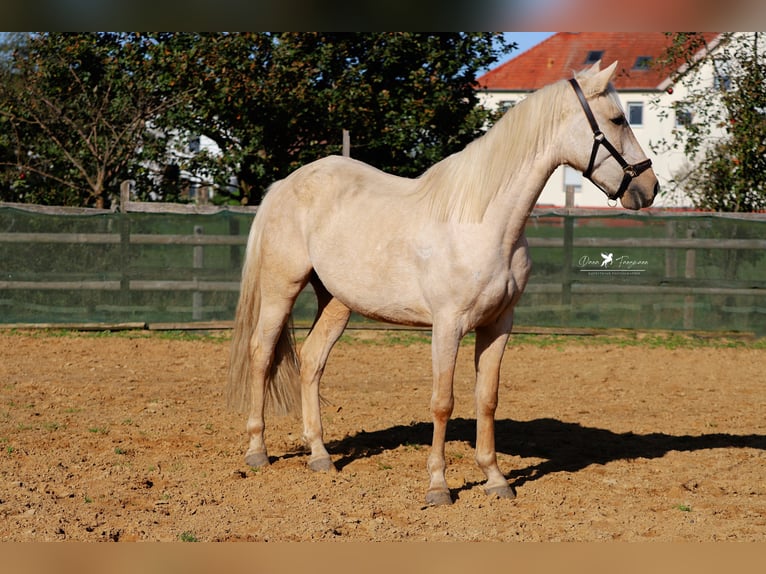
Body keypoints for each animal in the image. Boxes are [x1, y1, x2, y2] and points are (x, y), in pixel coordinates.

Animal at [228, 60, 660, 506]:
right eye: (617, 119)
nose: (649, 188)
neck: (482, 222)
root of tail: (285, 185)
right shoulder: (447, 326)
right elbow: (442, 402)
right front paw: (438, 486)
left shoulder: (499, 324)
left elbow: (487, 399)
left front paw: (495, 479)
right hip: (281, 288)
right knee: (261, 354)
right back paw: (257, 450)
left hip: (335, 301)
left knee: (312, 361)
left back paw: (320, 455)